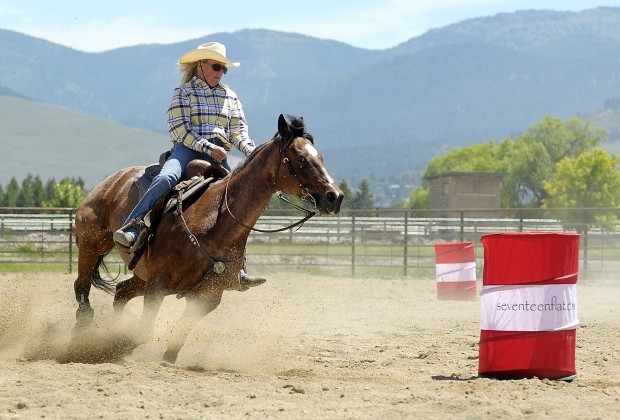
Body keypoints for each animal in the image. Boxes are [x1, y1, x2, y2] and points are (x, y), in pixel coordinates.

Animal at [74, 114, 344, 360]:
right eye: (300, 158)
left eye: (321, 157)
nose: (335, 196)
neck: (215, 222)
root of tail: (110, 182)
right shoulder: (158, 285)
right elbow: (143, 332)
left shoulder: (207, 296)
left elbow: (177, 339)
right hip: (92, 243)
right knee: (82, 286)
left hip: (141, 275)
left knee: (121, 291)